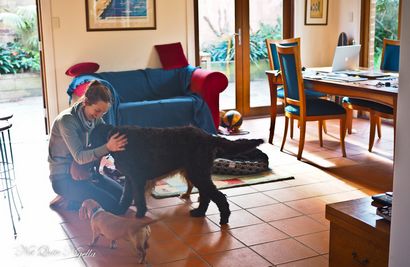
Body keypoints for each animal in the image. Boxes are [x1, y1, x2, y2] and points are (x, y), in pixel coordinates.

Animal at [90, 124, 262, 225]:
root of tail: (209, 137)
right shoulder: (130, 178)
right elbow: (125, 196)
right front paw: (119, 210)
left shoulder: (137, 179)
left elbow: (138, 198)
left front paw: (139, 214)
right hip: (197, 173)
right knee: (206, 195)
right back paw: (199, 212)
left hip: (198, 173)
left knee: (218, 196)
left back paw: (224, 218)